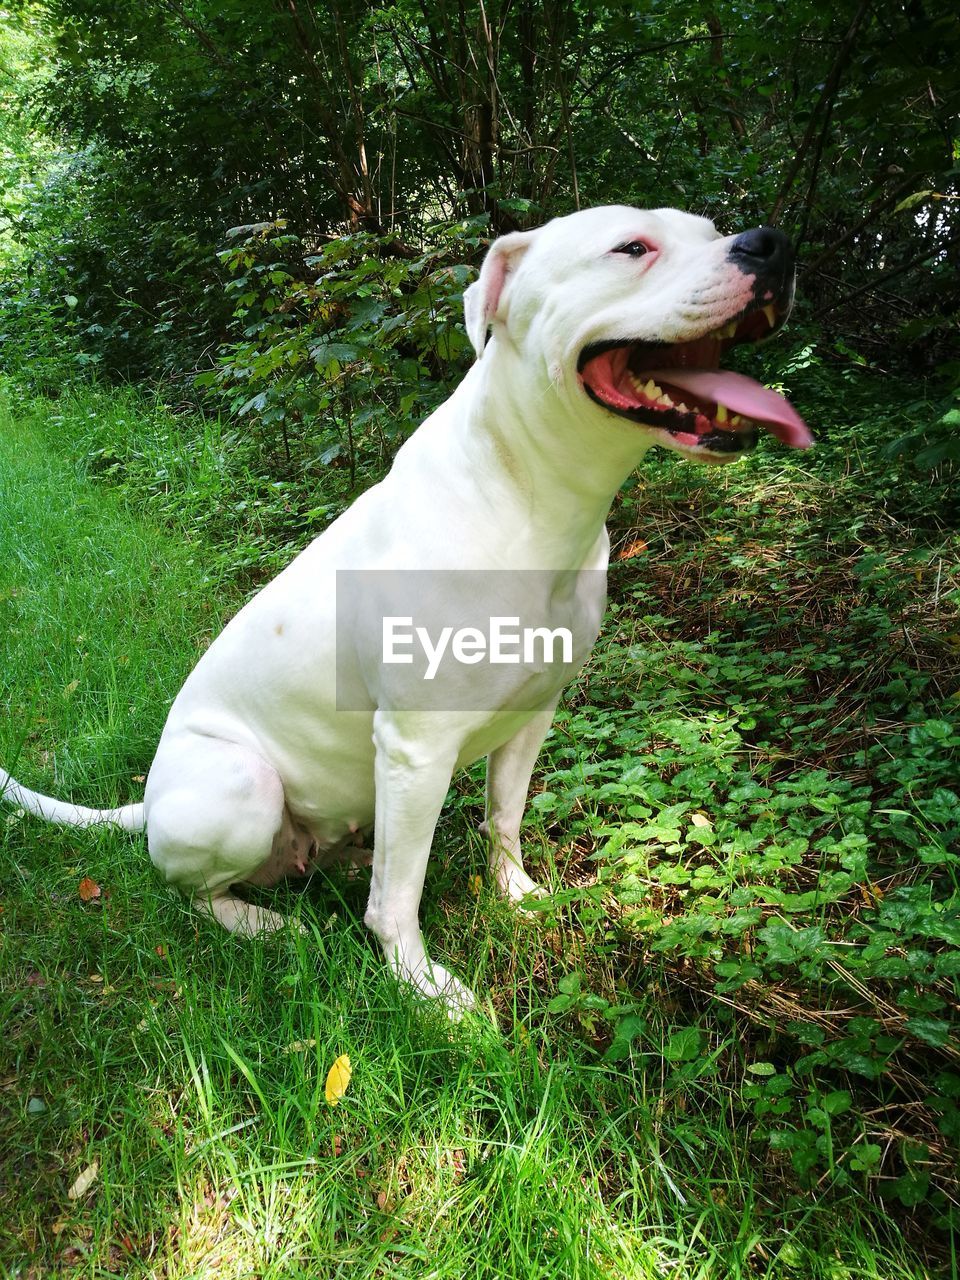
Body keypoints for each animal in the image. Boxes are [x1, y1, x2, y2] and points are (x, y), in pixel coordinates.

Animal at [0, 207, 814, 1008]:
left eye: (710, 229)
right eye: (632, 248)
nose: (773, 244)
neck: (533, 503)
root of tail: (148, 807)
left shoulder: (535, 713)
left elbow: (504, 816)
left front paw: (517, 896)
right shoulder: (417, 747)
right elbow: (399, 905)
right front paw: (425, 988)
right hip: (242, 784)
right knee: (192, 893)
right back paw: (265, 923)